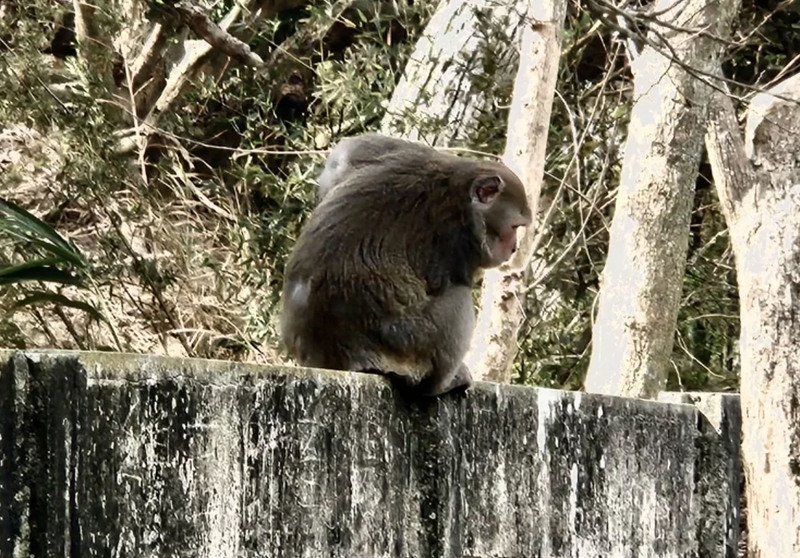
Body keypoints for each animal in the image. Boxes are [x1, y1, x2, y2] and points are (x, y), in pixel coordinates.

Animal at [282, 135, 532, 398]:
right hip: (407, 341)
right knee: (458, 297)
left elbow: (345, 157)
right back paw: (441, 384)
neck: (457, 185)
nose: (514, 248)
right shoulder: (459, 242)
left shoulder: (409, 153)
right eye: (514, 227)